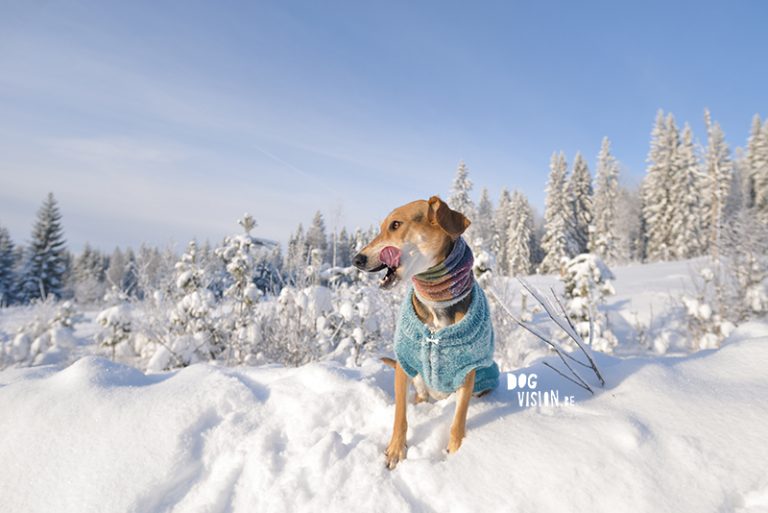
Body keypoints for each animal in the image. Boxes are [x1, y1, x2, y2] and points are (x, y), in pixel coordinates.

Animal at [352, 195, 498, 468]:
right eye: (381, 227)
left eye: (395, 225)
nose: (356, 259)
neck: (436, 302)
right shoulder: (403, 365)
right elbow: (400, 417)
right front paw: (396, 451)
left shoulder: (468, 370)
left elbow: (458, 420)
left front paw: (456, 453)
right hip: (418, 379)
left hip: (486, 376)